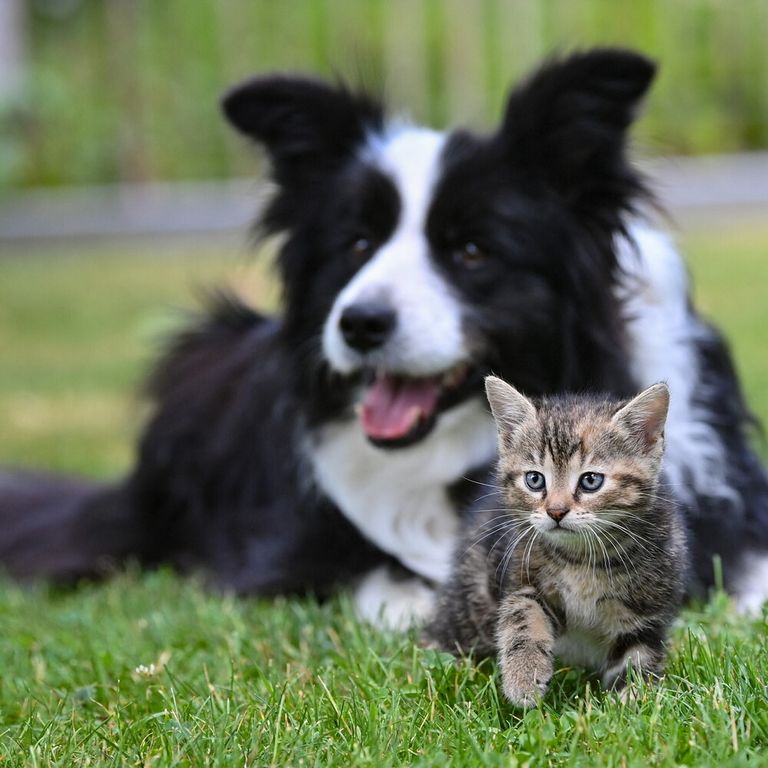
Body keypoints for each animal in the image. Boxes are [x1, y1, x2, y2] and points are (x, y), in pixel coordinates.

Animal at [426, 378, 688, 708]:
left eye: (591, 481)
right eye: (535, 480)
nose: (556, 511)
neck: (584, 558)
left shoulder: (647, 610)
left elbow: (637, 657)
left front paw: (631, 702)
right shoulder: (521, 574)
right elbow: (523, 616)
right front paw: (523, 677)